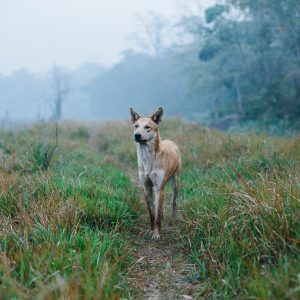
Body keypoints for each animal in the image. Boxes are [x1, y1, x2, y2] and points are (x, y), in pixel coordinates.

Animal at [129, 106, 180, 240]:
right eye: (136, 126)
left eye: (147, 127)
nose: (137, 135)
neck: (148, 159)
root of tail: (171, 142)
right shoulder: (147, 187)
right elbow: (152, 214)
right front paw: (151, 231)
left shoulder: (158, 188)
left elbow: (157, 216)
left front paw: (157, 234)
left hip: (175, 183)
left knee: (173, 203)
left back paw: (173, 217)